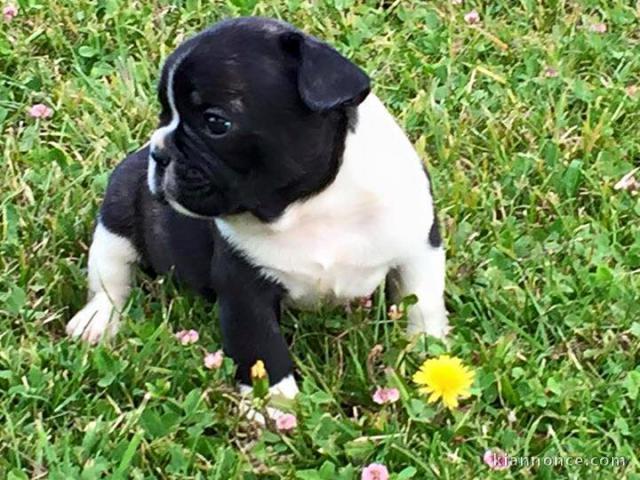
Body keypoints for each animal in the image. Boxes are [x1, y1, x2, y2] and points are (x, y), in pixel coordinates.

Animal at [65, 16, 444, 402]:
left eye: (216, 123)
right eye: (163, 113)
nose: (159, 152)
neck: (312, 205)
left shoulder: (419, 248)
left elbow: (423, 300)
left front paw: (427, 352)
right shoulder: (244, 287)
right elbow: (262, 350)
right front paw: (276, 405)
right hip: (117, 213)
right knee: (111, 274)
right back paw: (97, 320)